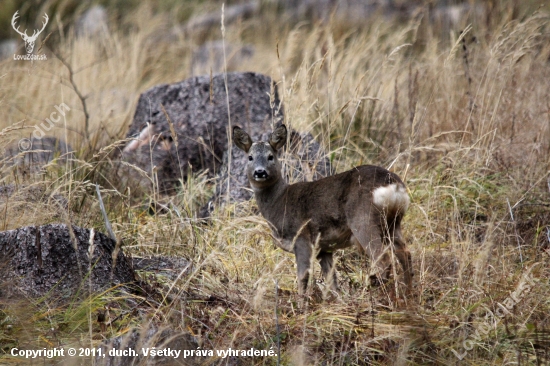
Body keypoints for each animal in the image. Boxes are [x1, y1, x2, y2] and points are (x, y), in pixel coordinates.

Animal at [234, 124, 414, 296]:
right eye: (250, 157)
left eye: (270, 156)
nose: (260, 172)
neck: (279, 203)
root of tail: (393, 184)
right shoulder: (324, 249)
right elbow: (331, 281)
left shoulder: (302, 238)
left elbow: (303, 277)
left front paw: (302, 304)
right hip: (393, 224)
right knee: (405, 253)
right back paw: (407, 293)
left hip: (363, 221)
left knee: (383, 259)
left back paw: (376, 291)